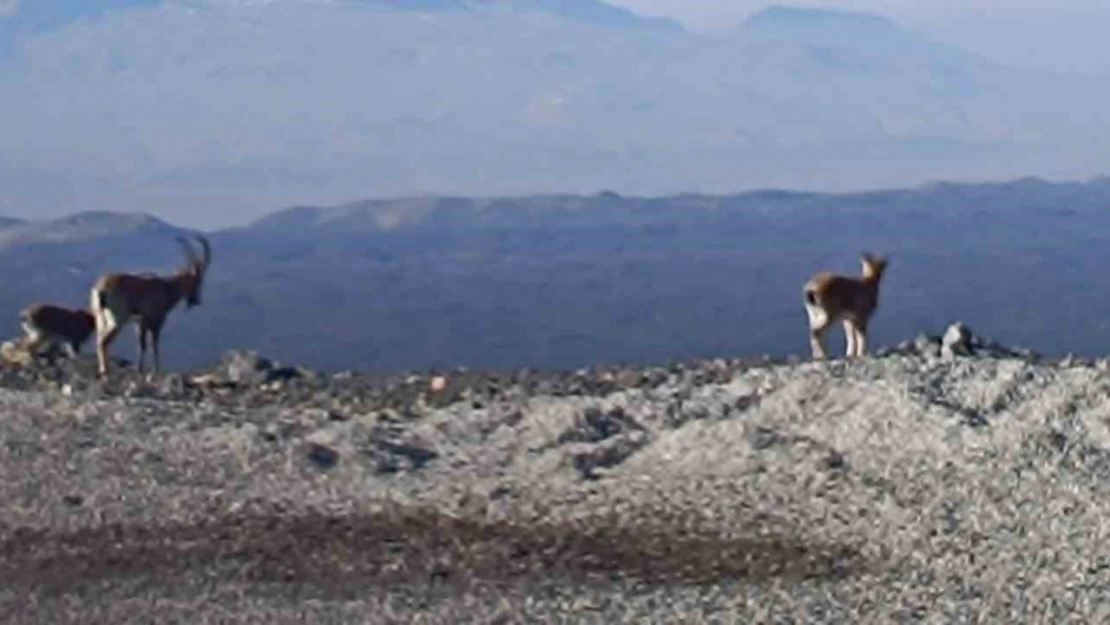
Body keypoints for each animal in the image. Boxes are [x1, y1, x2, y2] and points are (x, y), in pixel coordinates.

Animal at [89, 237, 210, 379]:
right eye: (197, 281)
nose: (197, 300)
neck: (166, 289)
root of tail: (101, 288)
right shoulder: (155, 322)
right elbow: (154, 345)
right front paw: (156, 371)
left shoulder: (139, 324)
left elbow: (141, 345)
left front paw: (140, 370)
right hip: (117, 320)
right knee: (103, 342)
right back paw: (105, 372)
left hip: (100, 318)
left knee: (99, 340)